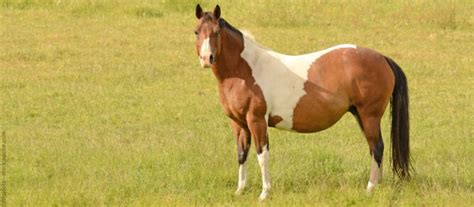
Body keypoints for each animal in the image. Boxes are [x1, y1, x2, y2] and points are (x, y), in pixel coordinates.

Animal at [194, 4, 410, 201]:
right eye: (197, 31)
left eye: (216, 31)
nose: (206, 58)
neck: (245, 70)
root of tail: (381, 57)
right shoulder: (238, 123)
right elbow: (242, 154)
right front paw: (240, 190)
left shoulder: (257, 121)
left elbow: (262, 154)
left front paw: (264, 193)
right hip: (360, 115)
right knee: (374, 148)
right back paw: (376, 185)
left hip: (369, 116)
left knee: (377, 147)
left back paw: (370, 188)